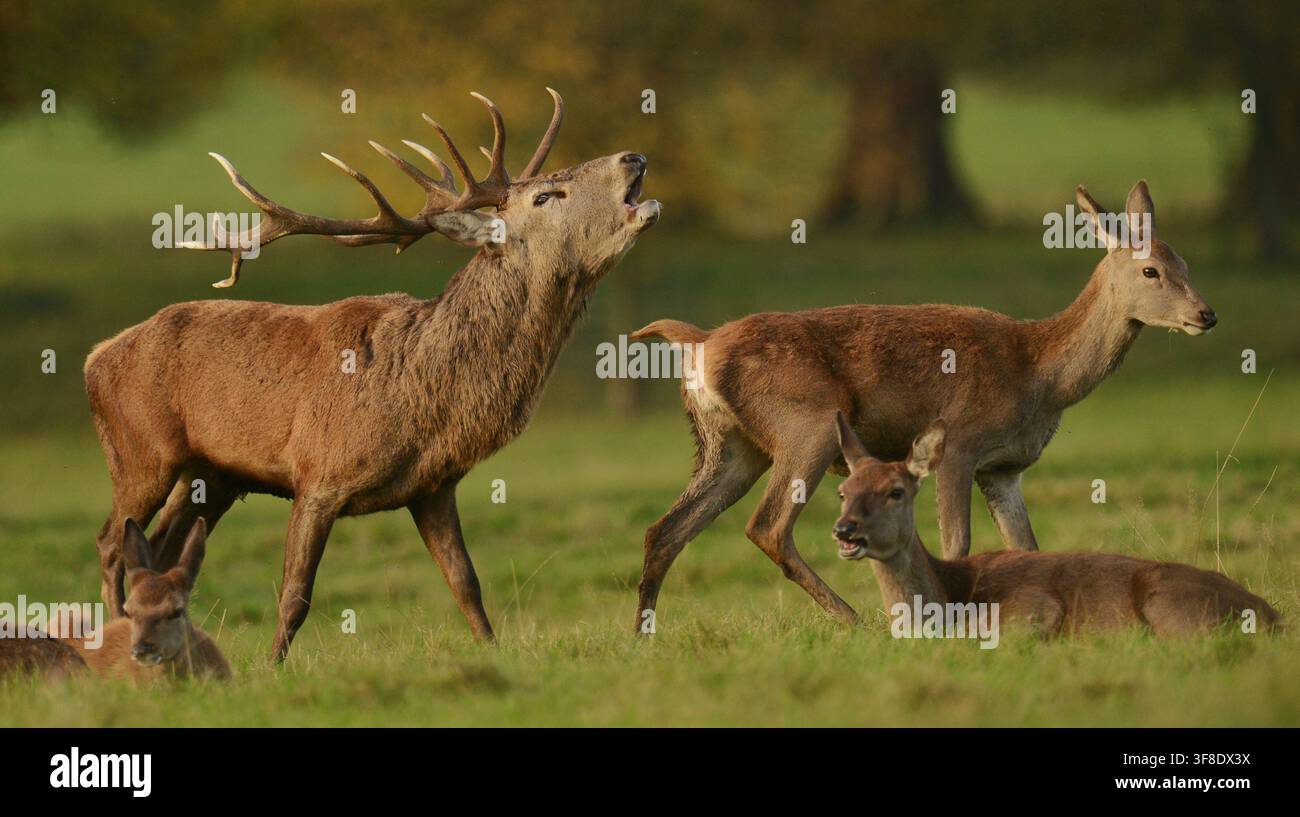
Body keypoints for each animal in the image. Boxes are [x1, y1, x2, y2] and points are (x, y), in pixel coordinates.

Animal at [85, 89, 660, 660]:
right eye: (546, 196)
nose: (634, 156)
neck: (422, 401)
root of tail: (97, 356)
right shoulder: (318, 474)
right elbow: (294, 596)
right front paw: (272, 667)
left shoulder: (434, 488)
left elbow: (466, 585)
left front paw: (493, 653)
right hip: (141, 452)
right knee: (112, 542)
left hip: (212, 474)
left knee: (158, 550)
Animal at [631, 181, 1215, 632]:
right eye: (1151, 272)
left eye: (1186, 262)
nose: (1206, 315)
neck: (1039, 375)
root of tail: (700, 341)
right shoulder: (959, 444)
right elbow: (958, 544)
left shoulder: (1005, 469)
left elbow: (1026, 546)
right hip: (806, 424)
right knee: (767, 526)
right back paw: (853, 619)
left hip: (733, 445)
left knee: (666, 529)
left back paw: (644, 636)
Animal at [832, 414, 1279, 637]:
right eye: (842, 491)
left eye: (895, 491)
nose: (844, 530)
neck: (947, 597)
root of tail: (1273, 615)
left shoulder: (1030, 606)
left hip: (1172, 606)